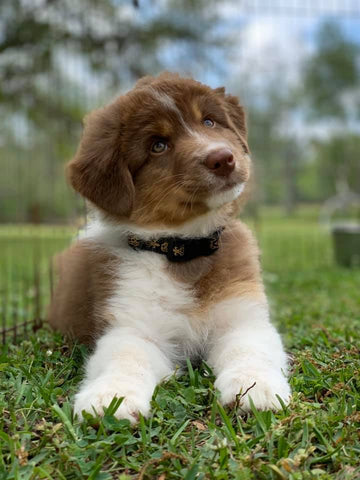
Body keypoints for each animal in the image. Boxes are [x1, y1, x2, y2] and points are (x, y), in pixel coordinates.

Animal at [47, 73, 292, 422]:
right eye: (158, 145)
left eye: (209, 121)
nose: (223, 159)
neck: (183, 249)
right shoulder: (130, 323)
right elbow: (126, 356)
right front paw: (111, 399)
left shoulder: (242, 315)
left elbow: (249, 349)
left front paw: (254, 388)